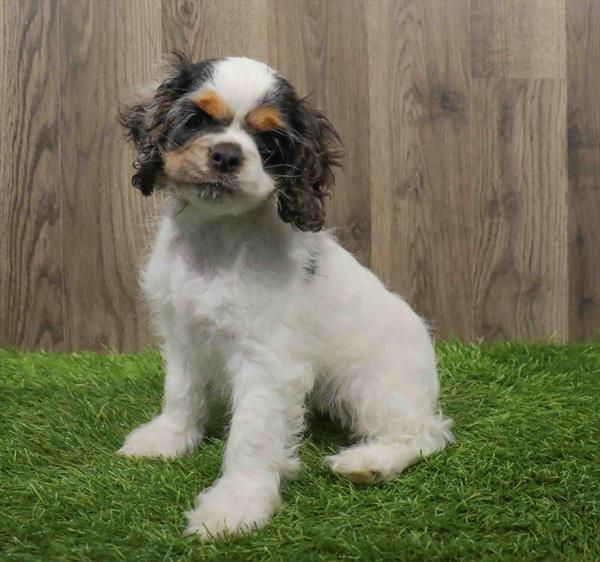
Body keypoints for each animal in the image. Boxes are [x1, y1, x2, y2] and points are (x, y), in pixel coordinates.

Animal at [118, 53, 454, 540]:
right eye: (195, 120)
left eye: (270, 140)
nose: (226, 154)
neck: (217, 239)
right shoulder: (182, 336)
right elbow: (181, 392)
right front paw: (169, 438)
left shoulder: (267, 362)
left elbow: (251, 435)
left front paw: (236, 505)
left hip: (375, 387)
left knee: (427, 432)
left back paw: (368, 462)